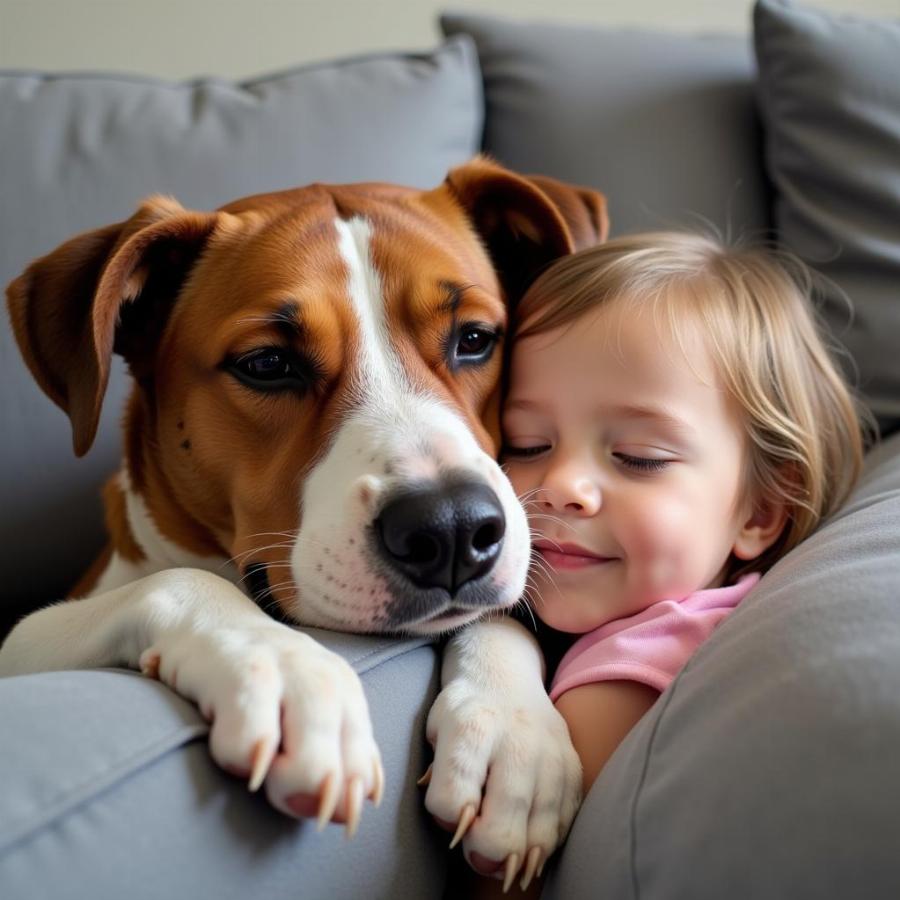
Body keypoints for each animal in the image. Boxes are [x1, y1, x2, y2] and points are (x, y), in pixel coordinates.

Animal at [0, 158, 608, 884]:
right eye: (267, 364)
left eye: (475, 340)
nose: (454, 528)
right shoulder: (22, 642)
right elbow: (186, 584)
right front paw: (287, 668)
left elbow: (499, 613)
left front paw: (513, 729)